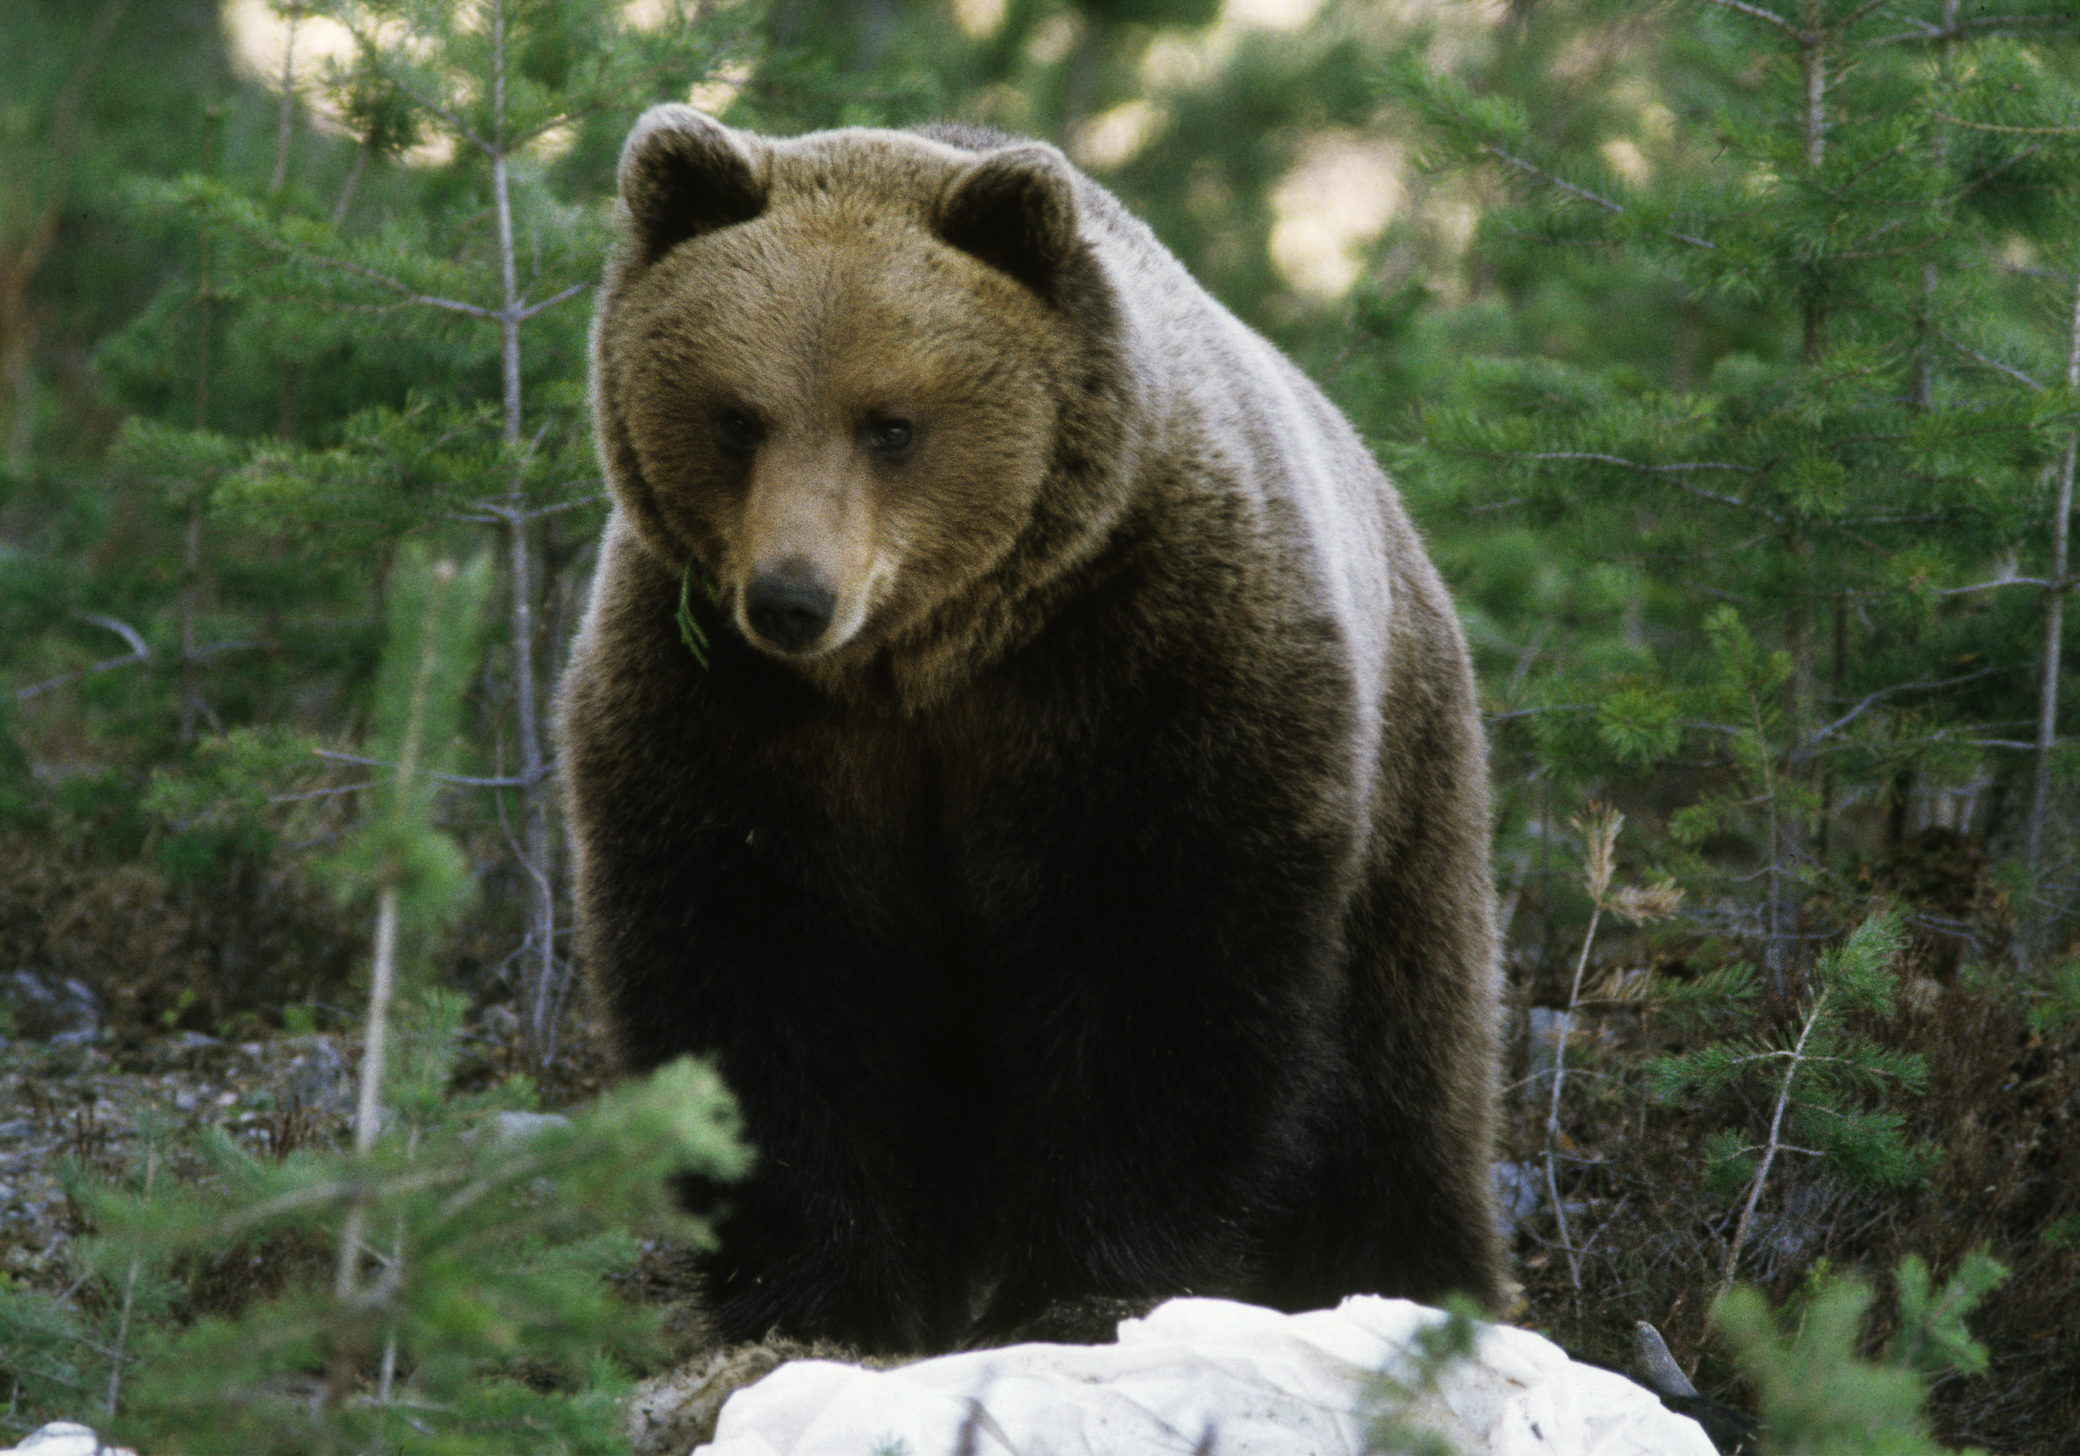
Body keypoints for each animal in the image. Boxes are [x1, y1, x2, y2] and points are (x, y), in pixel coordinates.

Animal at [561, 108, 1505, 1356]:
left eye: (891, 423)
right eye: (735, 416)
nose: (792, 597)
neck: (922, 665)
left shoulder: (1143, 666)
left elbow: (1157, 969)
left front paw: (1084, 1286)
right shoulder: (731, 711)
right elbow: (761, 969)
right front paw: (818, 1292)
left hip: (1410, 793)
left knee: (1405, 1082)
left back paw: (1417, 1285)